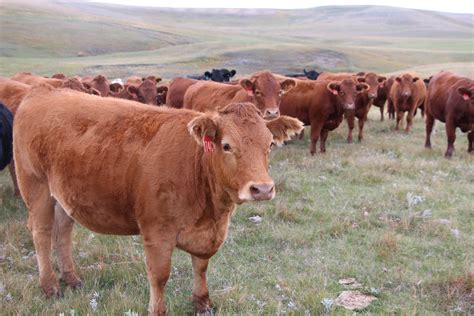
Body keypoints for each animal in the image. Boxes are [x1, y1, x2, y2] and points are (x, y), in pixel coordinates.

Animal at [14, 84, 304, 316]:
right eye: (227, 146)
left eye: (269, 145)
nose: (262, 189)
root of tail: (42, 90)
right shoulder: (157, 230)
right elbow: (159, 275)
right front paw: (158, 309)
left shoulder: (207, 233)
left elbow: (201, 266)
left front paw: (202, 303)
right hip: (36, 186)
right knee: (42, 233)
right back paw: (50, 286)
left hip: (64, 195)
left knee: (63, 232)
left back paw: (72, 279)